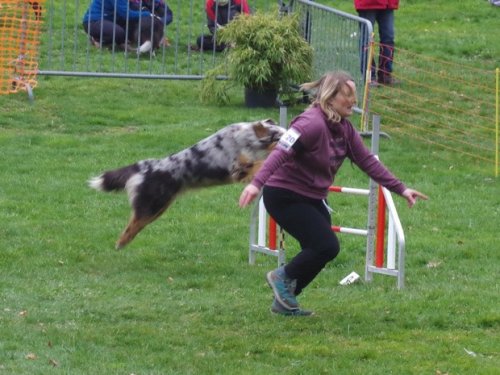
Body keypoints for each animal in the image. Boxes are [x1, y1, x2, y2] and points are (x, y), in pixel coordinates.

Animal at [90, 119, 286, 250]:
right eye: (280, 137)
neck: (249, 137)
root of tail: (146, 166)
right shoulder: (238, 168)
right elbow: (260, 163)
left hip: (160, 208)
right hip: (152, 207)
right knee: (133, 224)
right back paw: (120, 244)